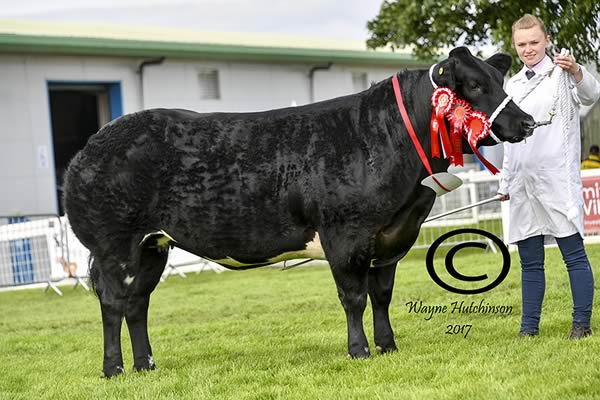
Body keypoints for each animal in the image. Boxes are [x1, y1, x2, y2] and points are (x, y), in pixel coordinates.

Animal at [64, 47, 536, 378]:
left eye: (500, 79)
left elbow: (382, 295)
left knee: (137, 303)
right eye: (473, 85)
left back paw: (146, 364)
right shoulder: (345, 234)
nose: (527, 123)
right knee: (114, 302)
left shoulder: (392, 237)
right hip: (115, 246)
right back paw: (114, 369)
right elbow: (354, 297)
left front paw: (388, 346)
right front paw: (359, 351)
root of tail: (92, 145)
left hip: (153, 247)